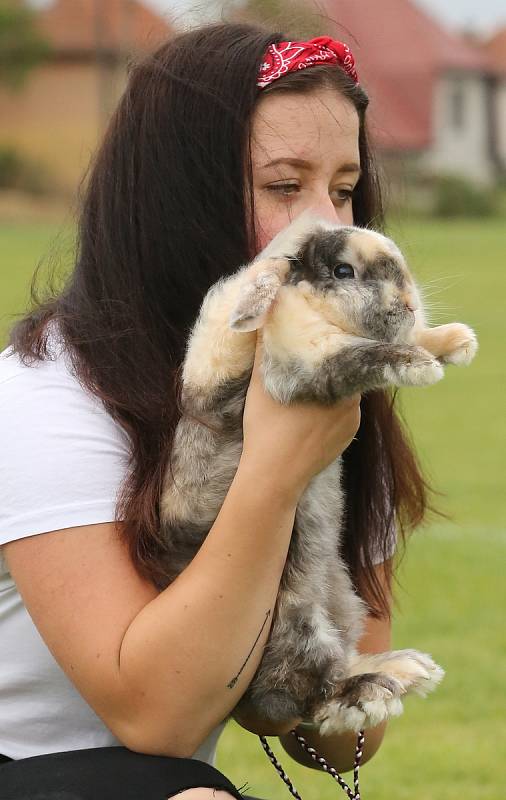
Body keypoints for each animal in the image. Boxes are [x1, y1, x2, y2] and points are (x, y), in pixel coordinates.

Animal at [160, 211, 476, 732]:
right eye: (344, 272)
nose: (410, 304)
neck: (310, 307)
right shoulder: (300, 360)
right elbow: (361, 353)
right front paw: (420, 365)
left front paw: (455, 341)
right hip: (295, 625)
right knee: (303, 696)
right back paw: (370, 695)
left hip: (343, 598)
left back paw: (408, 669)